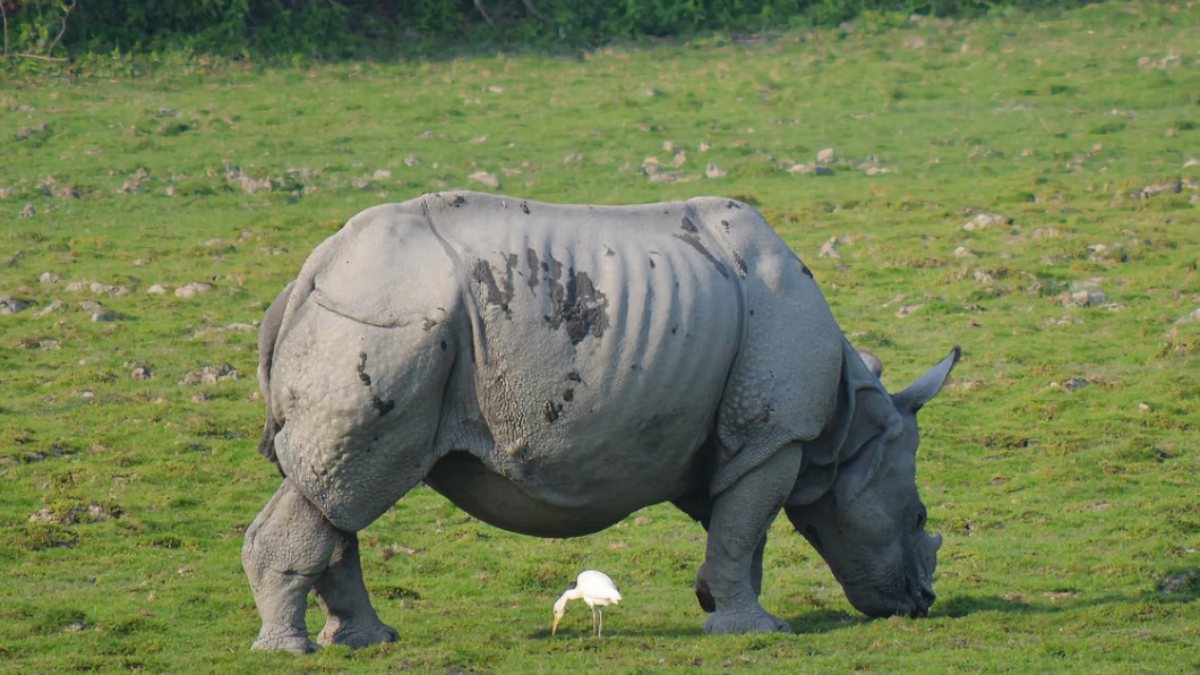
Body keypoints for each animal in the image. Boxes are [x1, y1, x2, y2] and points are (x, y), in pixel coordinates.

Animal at [243, 191, 958, 652]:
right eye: (920, 516)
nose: (922, 604)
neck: (850, 428)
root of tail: (310, 273)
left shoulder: (733, 438)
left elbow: (739, 528)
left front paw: (717, 605)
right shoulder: (775, 434)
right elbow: (743, 525)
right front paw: (757, 632)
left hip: (370, 321)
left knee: (336, 495)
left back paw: (367, 644)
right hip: (383, 327)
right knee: (351, 483)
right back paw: (291, 652)